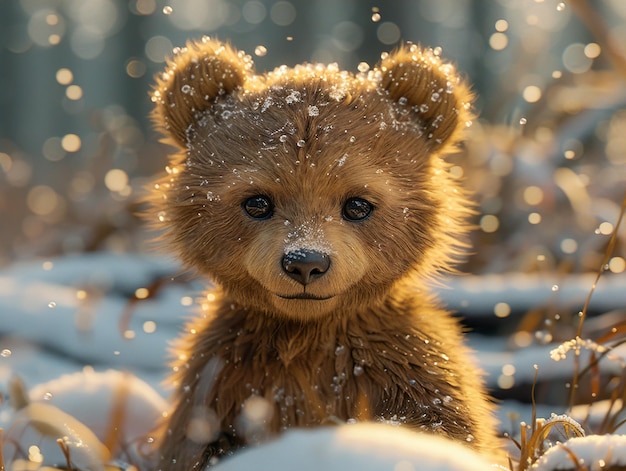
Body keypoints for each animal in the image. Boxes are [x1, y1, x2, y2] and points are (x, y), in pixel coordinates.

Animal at [149, 37, 494, 471]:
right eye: (257, 201)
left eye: (358, 203)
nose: (306, 263)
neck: (307, 332)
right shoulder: (220, 377)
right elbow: (194, 446)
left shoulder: (406, 364)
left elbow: (445, 426)